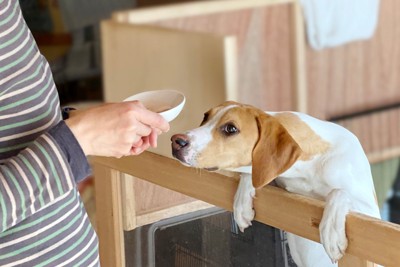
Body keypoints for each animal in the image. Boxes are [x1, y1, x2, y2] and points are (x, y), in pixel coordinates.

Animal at [170, 101, 382, 266]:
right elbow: (253, 175)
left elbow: (339, 192)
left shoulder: (370, 216)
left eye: (230, 128)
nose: (176, 141)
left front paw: (330, 230)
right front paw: (242, 201)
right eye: (205, 117)